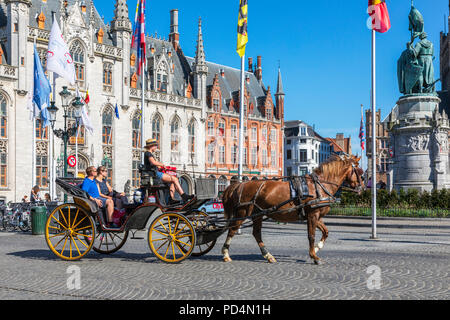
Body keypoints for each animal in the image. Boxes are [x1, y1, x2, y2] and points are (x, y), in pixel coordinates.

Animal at [220, 156, 364, 264]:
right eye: (360, 172)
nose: (362, 188)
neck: (320, 185)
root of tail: (240, 184)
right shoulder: (313, 214)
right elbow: (311, 236)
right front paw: (314, 256)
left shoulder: (315, 215)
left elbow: (326, 232)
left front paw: (317, 248)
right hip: (243, 213)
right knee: (232, 230)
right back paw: (226, 254)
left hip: (257, 214)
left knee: (256, 233)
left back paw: (268, 255)